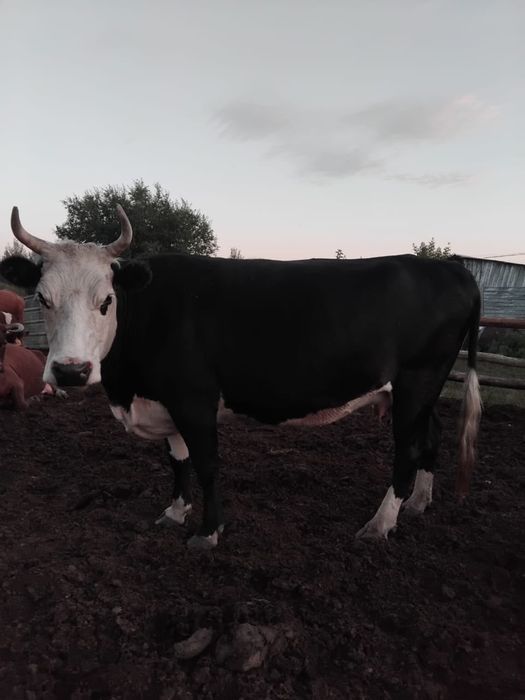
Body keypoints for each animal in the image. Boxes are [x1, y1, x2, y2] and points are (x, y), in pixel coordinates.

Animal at [0, 206, 482, 549]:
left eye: (106, 301)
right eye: (43, 297)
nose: (71, 370)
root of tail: (450, 268)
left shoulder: (194, 400)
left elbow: (207, 464)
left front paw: (208, 532)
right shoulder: (165, 402)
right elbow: (177, 460)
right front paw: (174, 513)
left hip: (418, 380)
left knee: (409, 447)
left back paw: (381, 523)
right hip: (422, 389)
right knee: (432, 435)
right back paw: (418, 503)